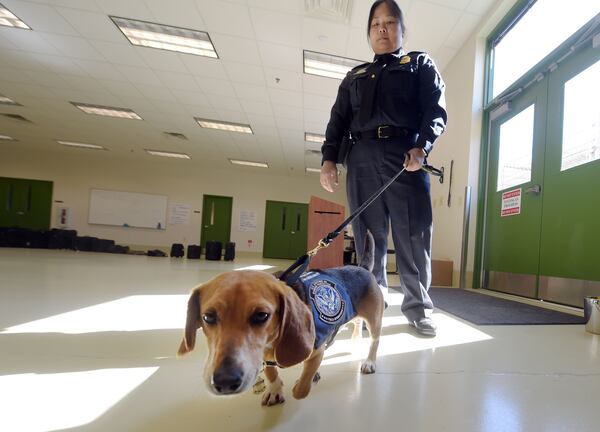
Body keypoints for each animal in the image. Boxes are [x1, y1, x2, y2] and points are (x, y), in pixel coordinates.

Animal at [178, 233, 384, 404]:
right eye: (207, 317)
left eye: (262, 315)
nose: (225, 381)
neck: (272, 343)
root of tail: (362, 268)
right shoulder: (267, 357)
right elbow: (271, 372)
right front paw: (275, 389)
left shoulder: (316, 351)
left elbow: (302, 387)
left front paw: (303, 383)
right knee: (355, 325)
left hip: (374, 320)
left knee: (374, 340)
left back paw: (369, 362)